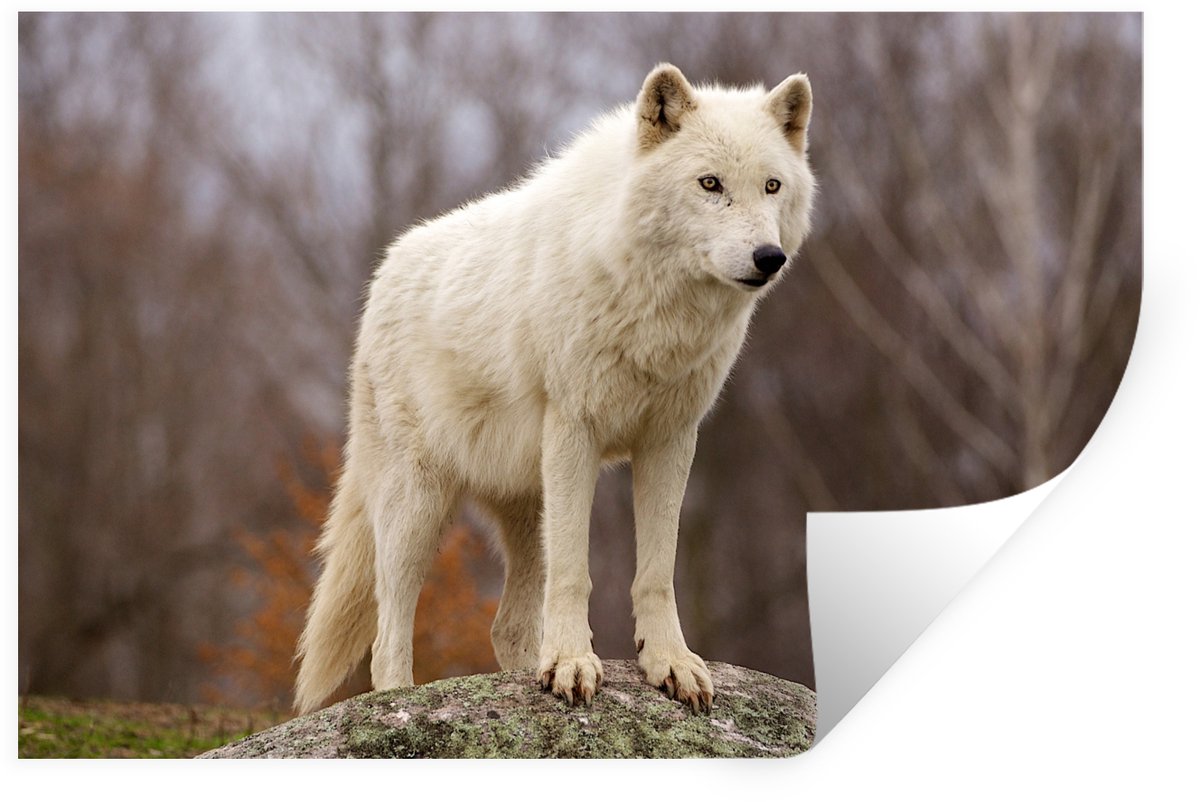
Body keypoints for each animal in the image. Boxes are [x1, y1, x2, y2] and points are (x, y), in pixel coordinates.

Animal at [294, 63, 816, 715]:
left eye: (772, 186)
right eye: (710, 183)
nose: (768, 257)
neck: (654, 308)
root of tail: (384, 271)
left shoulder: (671, 439)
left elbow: (657, 571)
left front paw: (668, 663)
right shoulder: (575, 430)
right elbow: (574, 571)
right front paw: (571, 664)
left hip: (524, 502)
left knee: (507, 626)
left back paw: (527, 674)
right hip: (417, 503)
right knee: (389, 631)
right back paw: (399, 705)